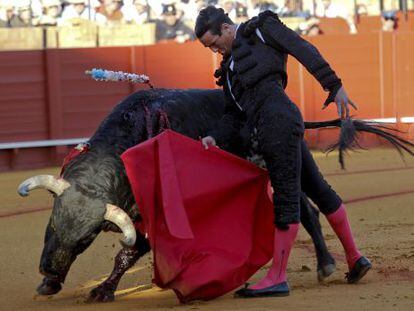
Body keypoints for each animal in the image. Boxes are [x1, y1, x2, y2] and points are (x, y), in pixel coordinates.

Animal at [17, 88, 412, 302]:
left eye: (86, 239)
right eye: (50, 226)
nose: (47, 267)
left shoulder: (152, 218)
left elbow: (127, 254)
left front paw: (102, 291)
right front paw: (49, 284)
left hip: (294, 164)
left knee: (313, 208)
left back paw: (333, 265)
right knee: (306, 211)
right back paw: (328, 264)